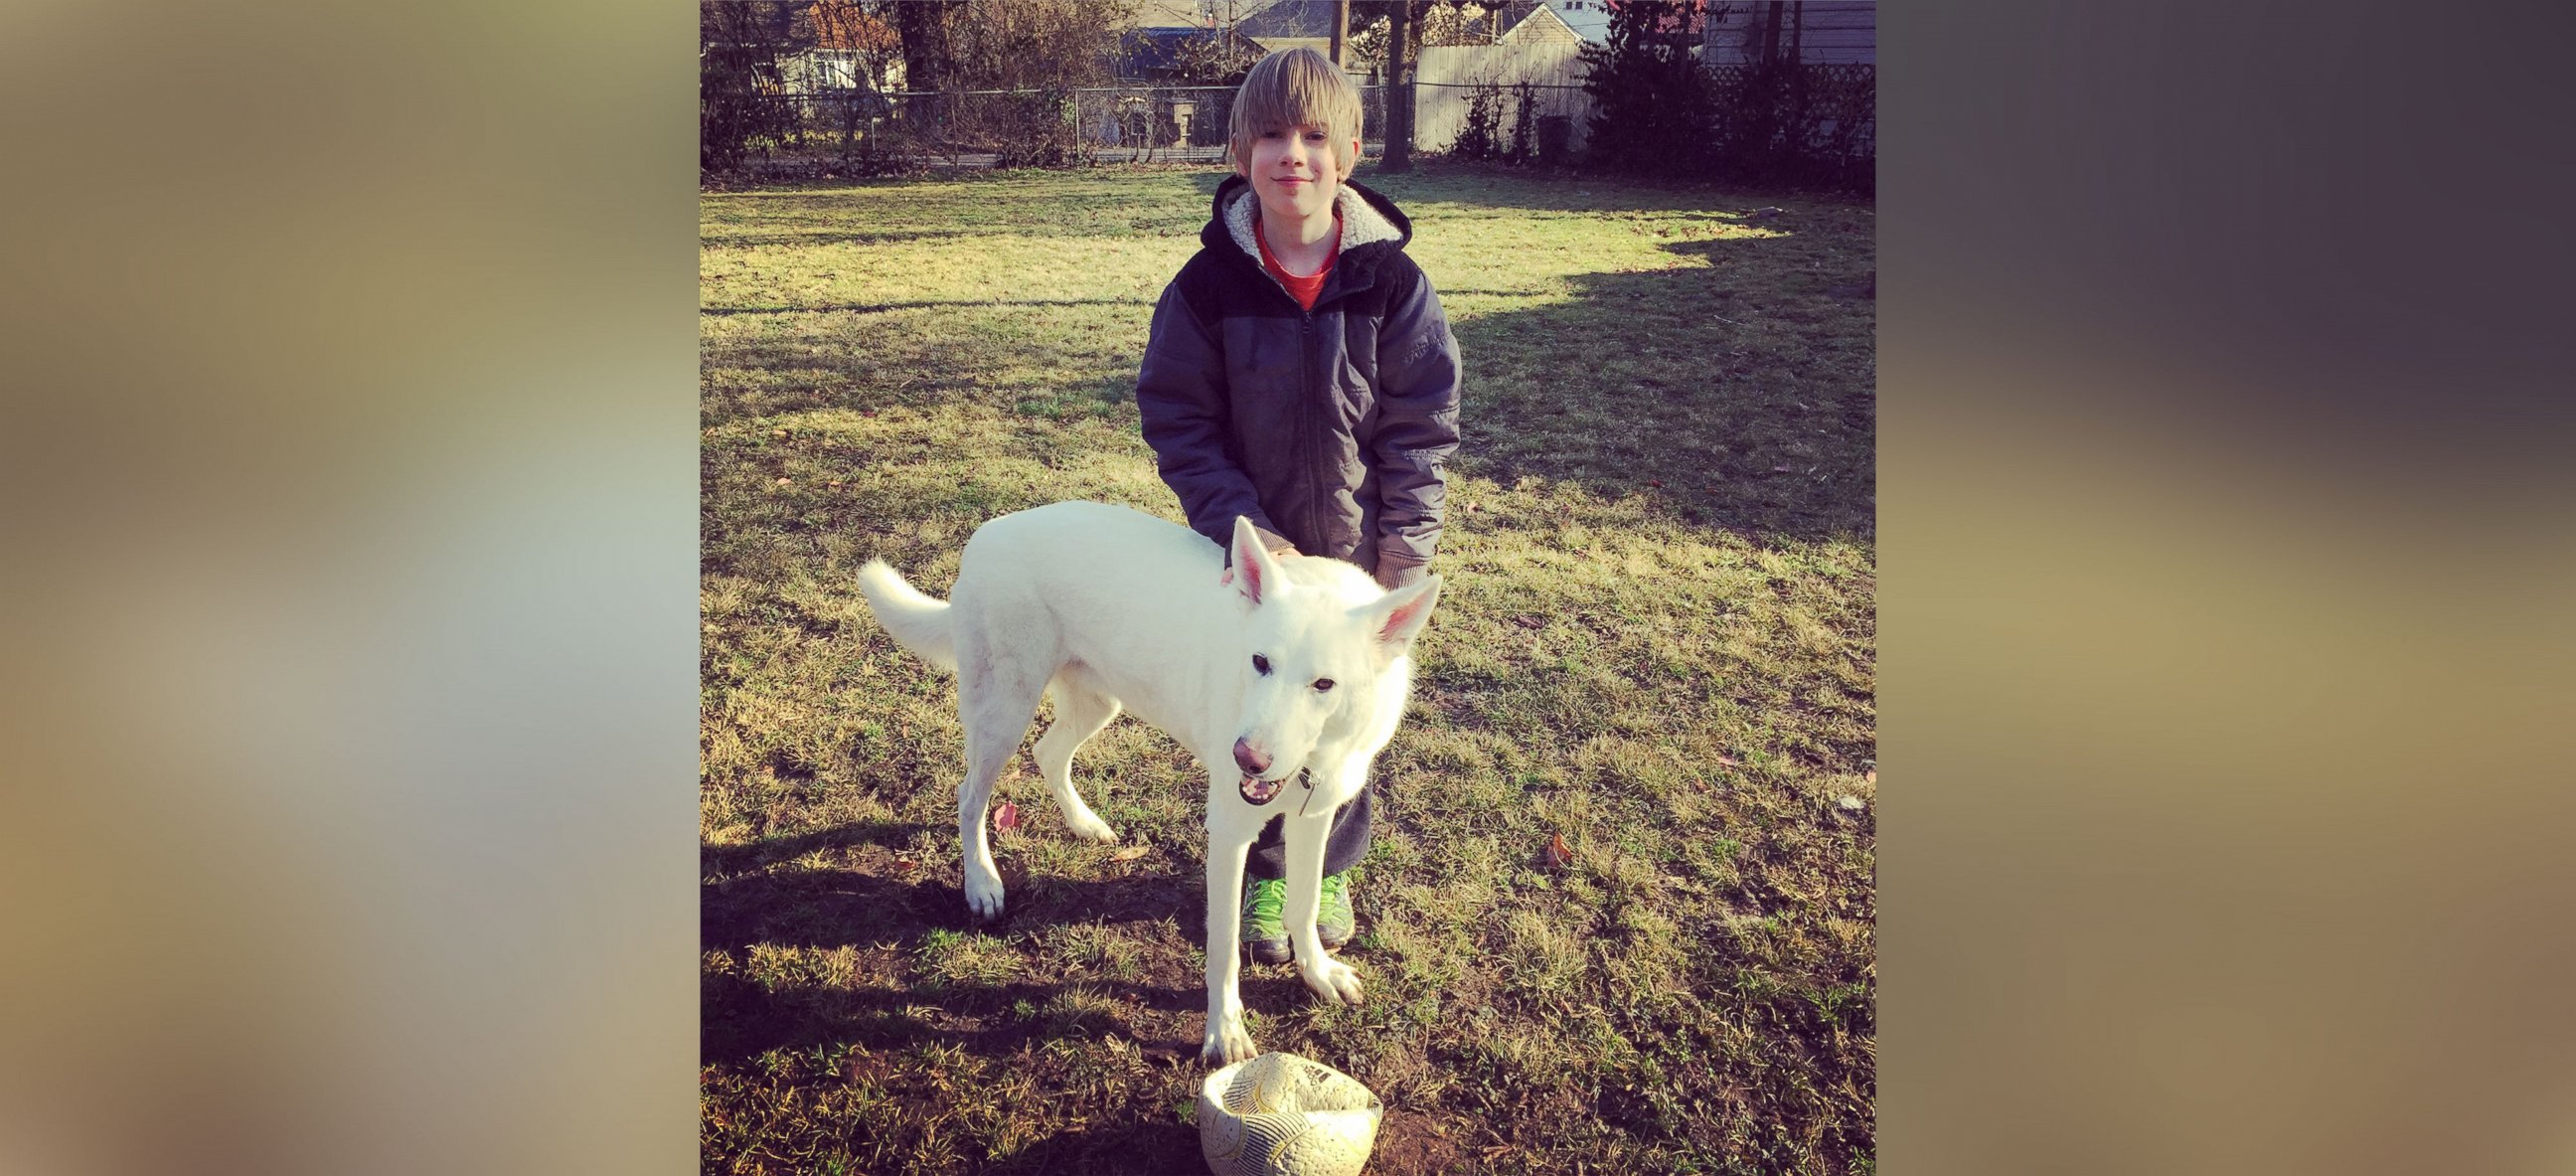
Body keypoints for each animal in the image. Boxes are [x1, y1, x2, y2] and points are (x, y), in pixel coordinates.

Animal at [860, 500, 1432, 1062]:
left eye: (1324, 684)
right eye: (1260, 662)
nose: (1245, 759)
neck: (1317, 755)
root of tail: (988, 532)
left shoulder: (1315, 814)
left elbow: (1306, 902)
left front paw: (1316, 971)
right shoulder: (1230, 833)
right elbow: (1223, 948)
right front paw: (1223, 1032)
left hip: (1097, 703)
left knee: (1048, 753)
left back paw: (1084, 824)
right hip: (1004, 710)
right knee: (970, 796)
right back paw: (982, 883)